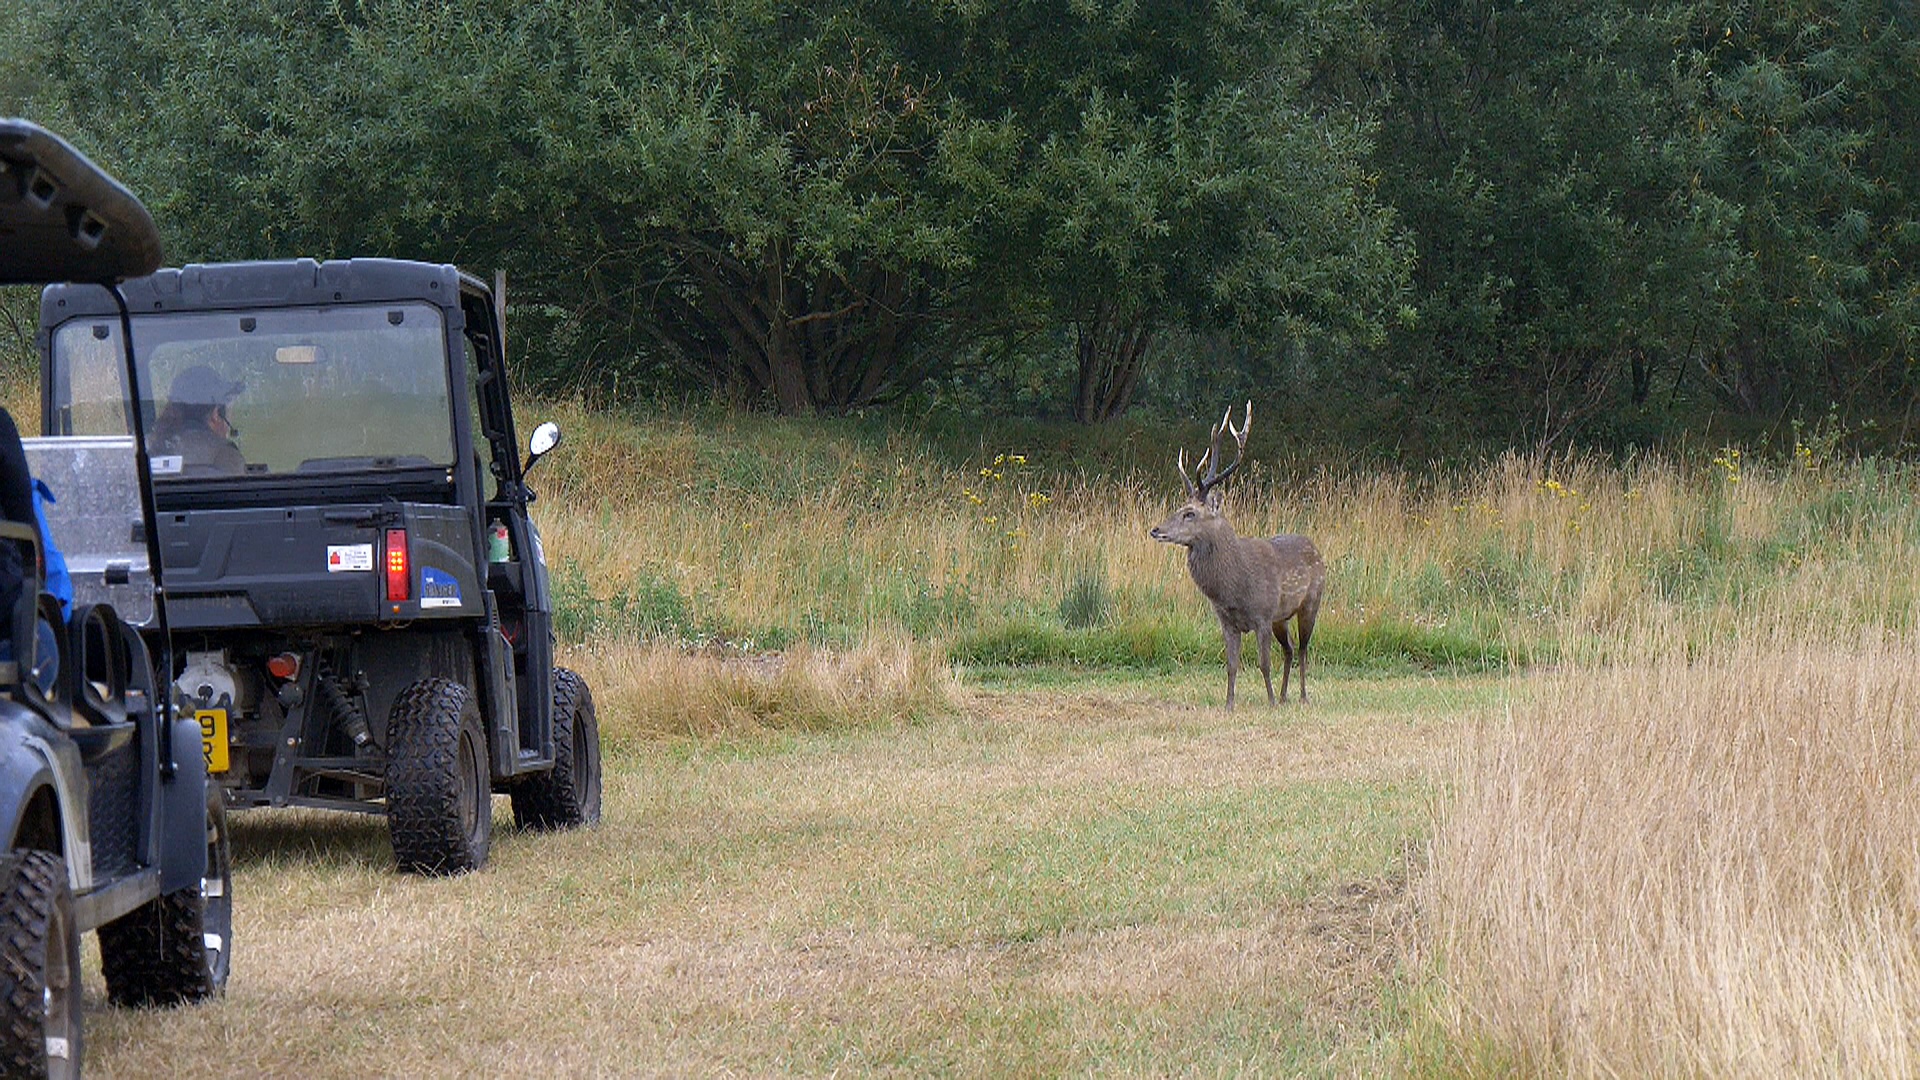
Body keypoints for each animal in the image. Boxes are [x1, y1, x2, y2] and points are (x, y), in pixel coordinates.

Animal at [1149, 402, 1325, 709]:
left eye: (1190, 513)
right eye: (1179, 507)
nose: (1156, 529)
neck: (1233, 588)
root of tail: (1316, 549)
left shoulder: (1263, 615)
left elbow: (1264, 664)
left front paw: (1269, 702)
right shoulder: (1227, 621)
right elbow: (1232, 665)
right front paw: (1229, 705)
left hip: (1310, 603)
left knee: (1303, 649)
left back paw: (1301, 696)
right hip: (1281, 618)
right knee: (1290, 649)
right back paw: (1285, 696)